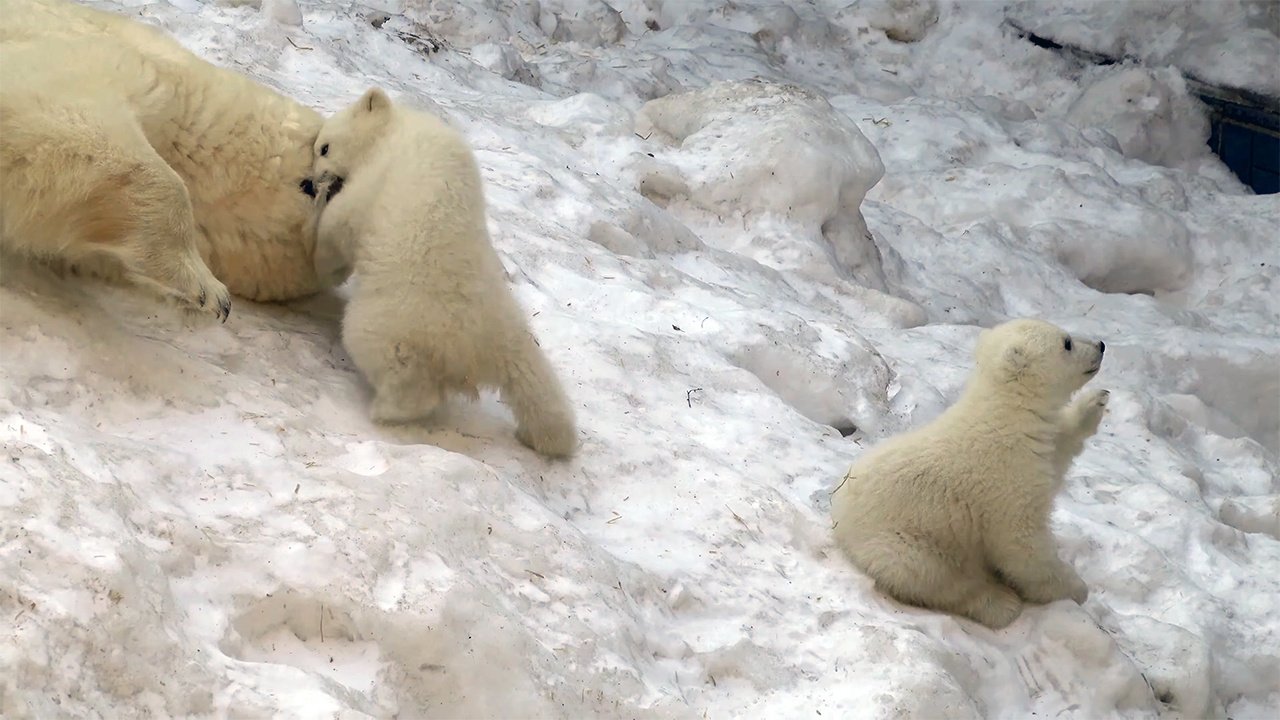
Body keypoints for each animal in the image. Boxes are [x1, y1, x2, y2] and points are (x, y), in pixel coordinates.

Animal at [834, 319, 1105, 627]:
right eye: (1067, 342)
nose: (1101, 346)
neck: (1004, 415)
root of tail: (839, 520)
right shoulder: (1006, 479)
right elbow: (1022, 547)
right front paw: (1076, 588)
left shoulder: (1034, 452)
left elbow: (1059, 452)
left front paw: (1094, 403)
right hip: (902, 541)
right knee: (933, 575)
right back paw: (999, 603)